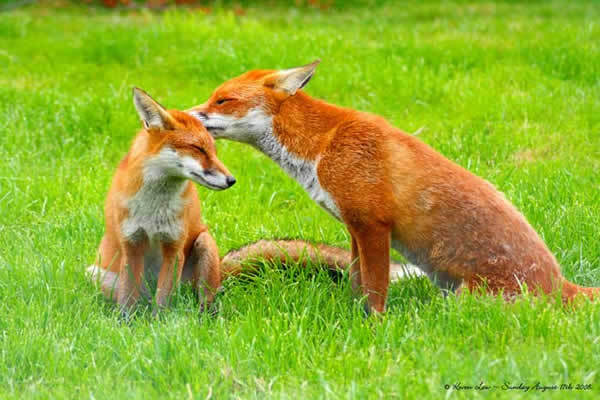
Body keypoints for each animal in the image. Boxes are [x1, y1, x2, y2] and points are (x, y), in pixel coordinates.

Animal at [89, 87, 424, 316]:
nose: (231, 180)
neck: (154, 207)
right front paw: (129, 325)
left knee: (202, 297)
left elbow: (163, 299)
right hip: (97, 273)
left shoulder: (174, 244)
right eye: (198, 149)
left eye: (213, 150)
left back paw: (204, 316)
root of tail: (222, 269)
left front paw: (159, 324)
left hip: (203, 245)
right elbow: (128, 299)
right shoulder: (131, 243)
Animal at [189, 59, 600, 312]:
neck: (321, 147)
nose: (185, 114)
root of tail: (561, 285)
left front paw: (373, 325)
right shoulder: (354, 227)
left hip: (466, 299)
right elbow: (357, 282)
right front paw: (351, 316)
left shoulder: (374, 225)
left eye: (222, 100)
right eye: (212, 97)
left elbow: (376, 290)